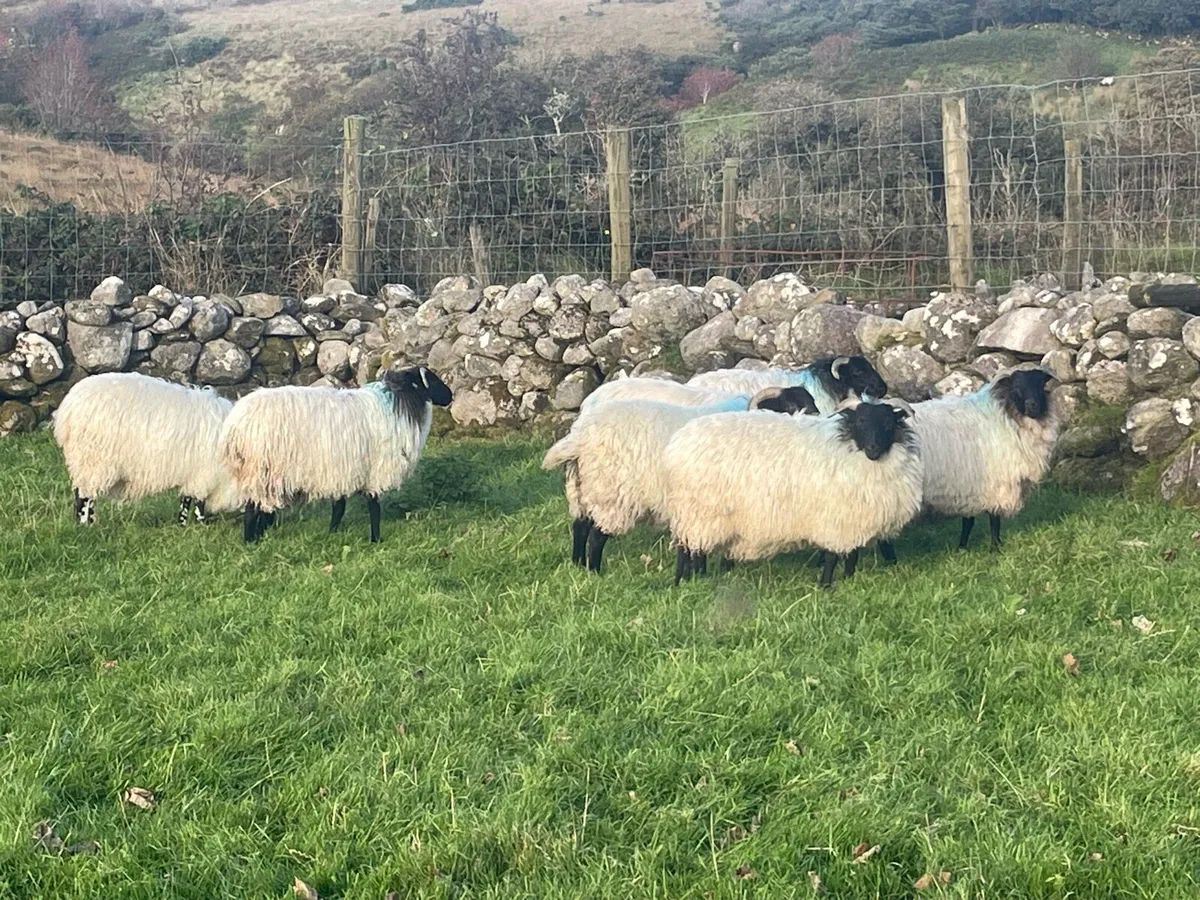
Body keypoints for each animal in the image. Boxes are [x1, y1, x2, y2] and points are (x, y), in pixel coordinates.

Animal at [52, 372, 242, 525]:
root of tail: (67, 410)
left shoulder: (191, 473)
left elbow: (185, 500)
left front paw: (181, 524)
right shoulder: (203, 474)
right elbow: (198, 502)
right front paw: (200, 525)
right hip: (92, 460)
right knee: (84, 497)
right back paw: (87, 525)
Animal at [218, 366, 453, 543]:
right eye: (430, 379)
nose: (450, 396)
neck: (399, 402)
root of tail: (235, 425)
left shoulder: (343, 470)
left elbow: (339, 506)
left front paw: (332, 532)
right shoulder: (373, 469)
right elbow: (373, 506)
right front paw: (375, 539)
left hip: (265, 474)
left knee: (261, 507)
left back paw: (260, 536)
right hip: (261, 468)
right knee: (252, 509)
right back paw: (250, 542)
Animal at [542, 385, 818, 571]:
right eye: (790, 406)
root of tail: (580, 437)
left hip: (584, 488)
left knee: (580, 527)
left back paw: (578, 566)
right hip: (614, 492)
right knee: (597, 536)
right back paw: (594, 570)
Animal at [663, 398, 922, 588]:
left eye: (888, 424)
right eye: (860, 421)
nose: (873, 449)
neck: (846, 447)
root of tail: (677, 444)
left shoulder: (854, 518)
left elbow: (852, 555)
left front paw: (849, 579)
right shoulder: (834, 517)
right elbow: (832, 556)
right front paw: (826, 586)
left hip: (695, 513)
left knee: (690, 548)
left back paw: (689, 579)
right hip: (699, 511)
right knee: (690, 550)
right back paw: (690, 580)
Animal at [880, 366, 1059, 555]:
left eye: (1040, 384)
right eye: (1016, 389)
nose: (1033, 406)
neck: (1004, 415)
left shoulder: (969, 487)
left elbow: (968, 521)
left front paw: (962, 548)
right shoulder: (994, 482)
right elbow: (993, 519)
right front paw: (994, 547)